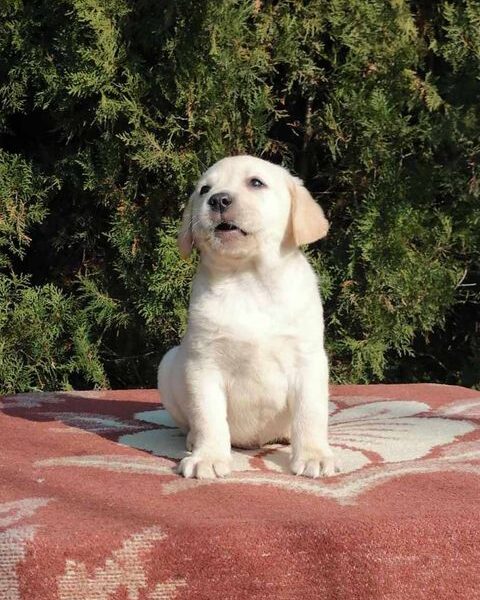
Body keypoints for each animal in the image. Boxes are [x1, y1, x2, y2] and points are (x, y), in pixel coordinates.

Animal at [158, 154, 334, 478]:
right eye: (204, 189)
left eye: (256, 183)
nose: (218, 200)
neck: (248, 278)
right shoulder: (204, 365)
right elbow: (209, 417)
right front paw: (208, 457)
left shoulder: (308, 361)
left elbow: (310, 414)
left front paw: (314, 455)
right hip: (168, 364)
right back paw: (193, 441)